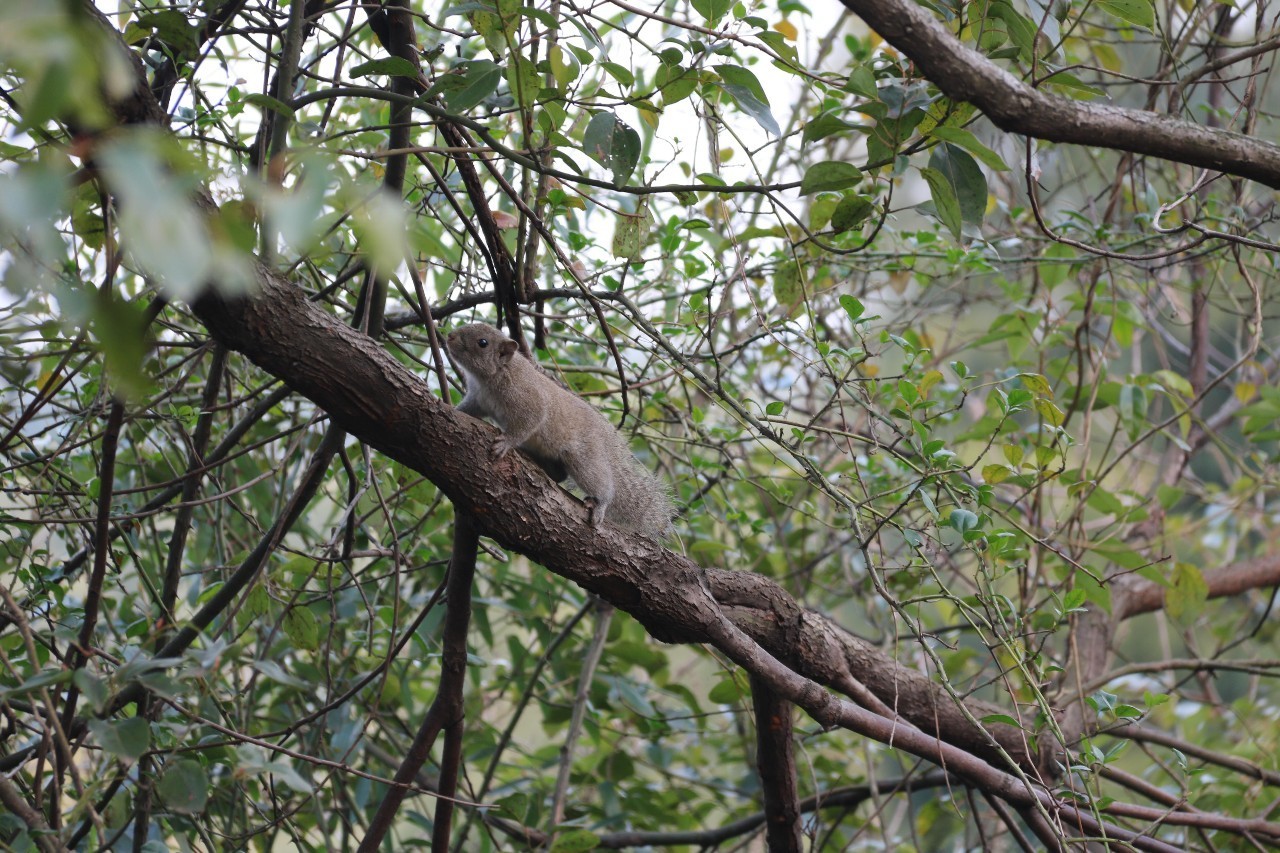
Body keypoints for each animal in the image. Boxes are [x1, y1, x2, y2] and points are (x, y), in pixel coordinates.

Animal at [448, 322, 675, 535]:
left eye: (483, 343)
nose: (449, 336)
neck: (491, 377)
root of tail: (605, 439)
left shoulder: (528, 400)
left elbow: (528, 423)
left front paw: (506, 442)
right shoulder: (478, 399)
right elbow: (468, 409)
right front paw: (452, 408)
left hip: (583, 459)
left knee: (601, 483)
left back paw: (600, 504)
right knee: (560, 475)